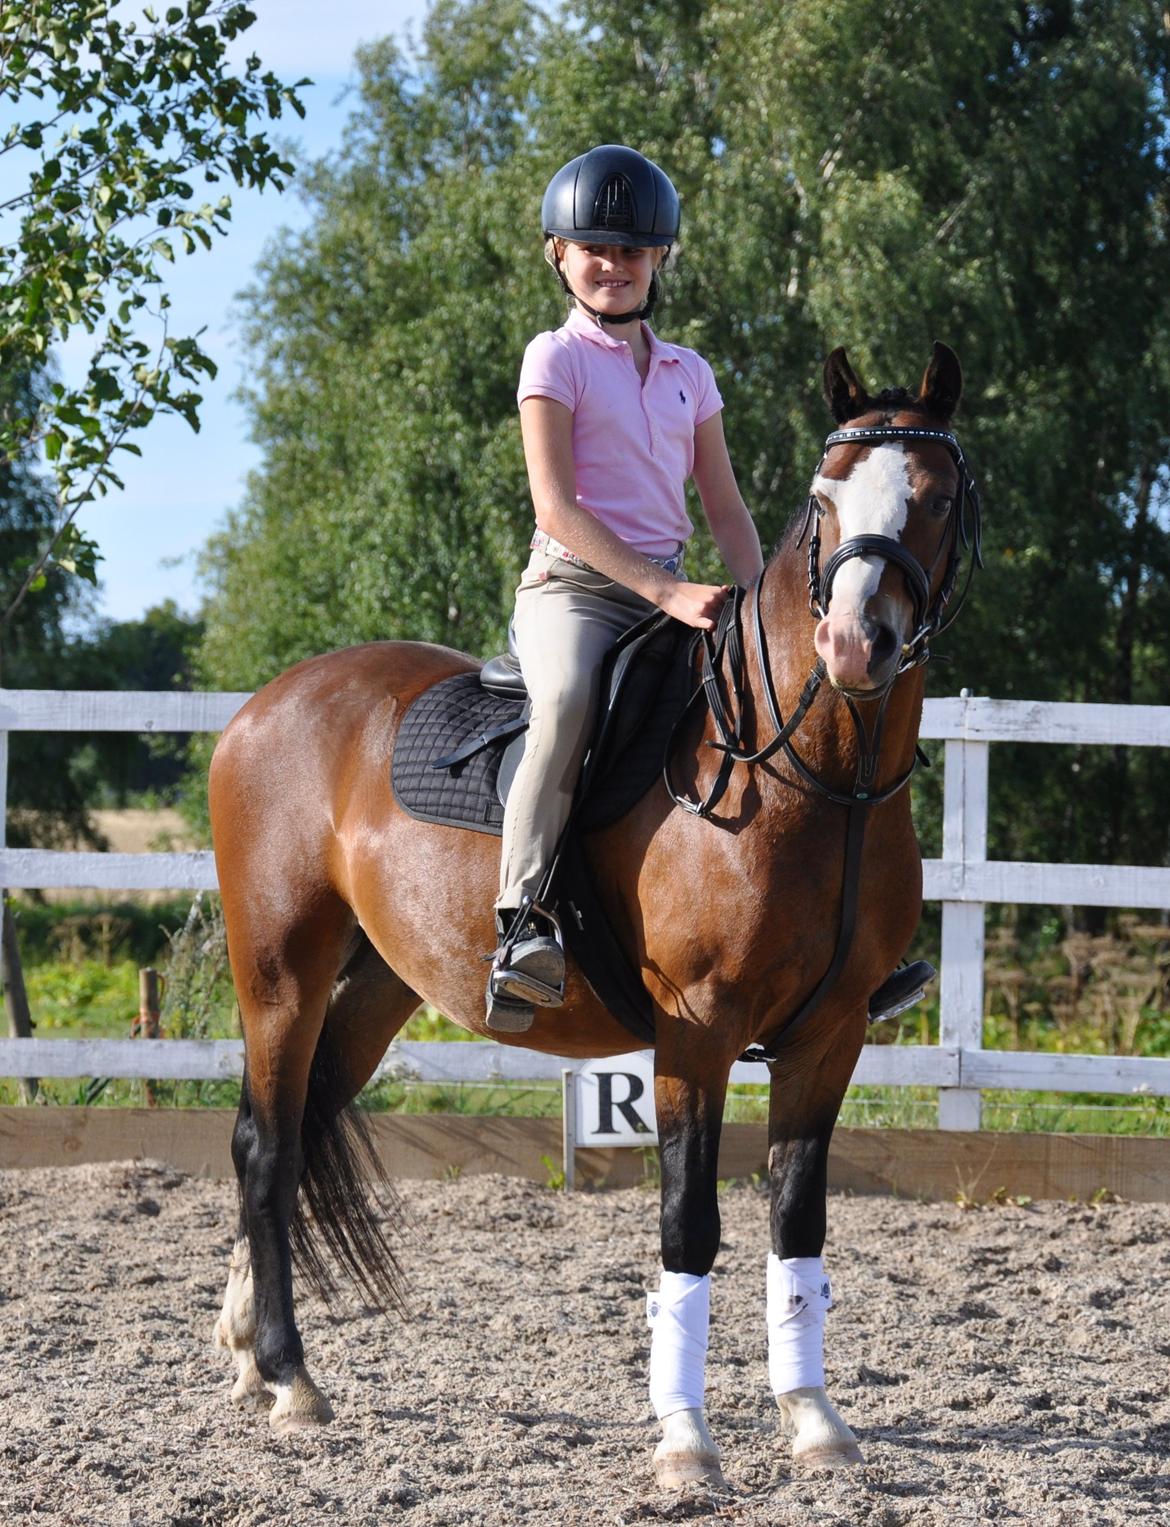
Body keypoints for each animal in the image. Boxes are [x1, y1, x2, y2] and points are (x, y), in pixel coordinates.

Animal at [208, 342, 980, 1487]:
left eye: (932, 498)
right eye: (825, 498)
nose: (852, 644)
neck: (809, 775)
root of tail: (264, 706)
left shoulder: (830, 1036)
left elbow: (797, 1220)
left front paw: (813, 1420)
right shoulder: (697, 1034)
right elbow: (688, 1227)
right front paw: (686, 1442)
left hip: (376, 986)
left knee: (295, 1131)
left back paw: (247, 1351)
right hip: (280, 975)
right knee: (264, 1145)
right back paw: (289, 1374)